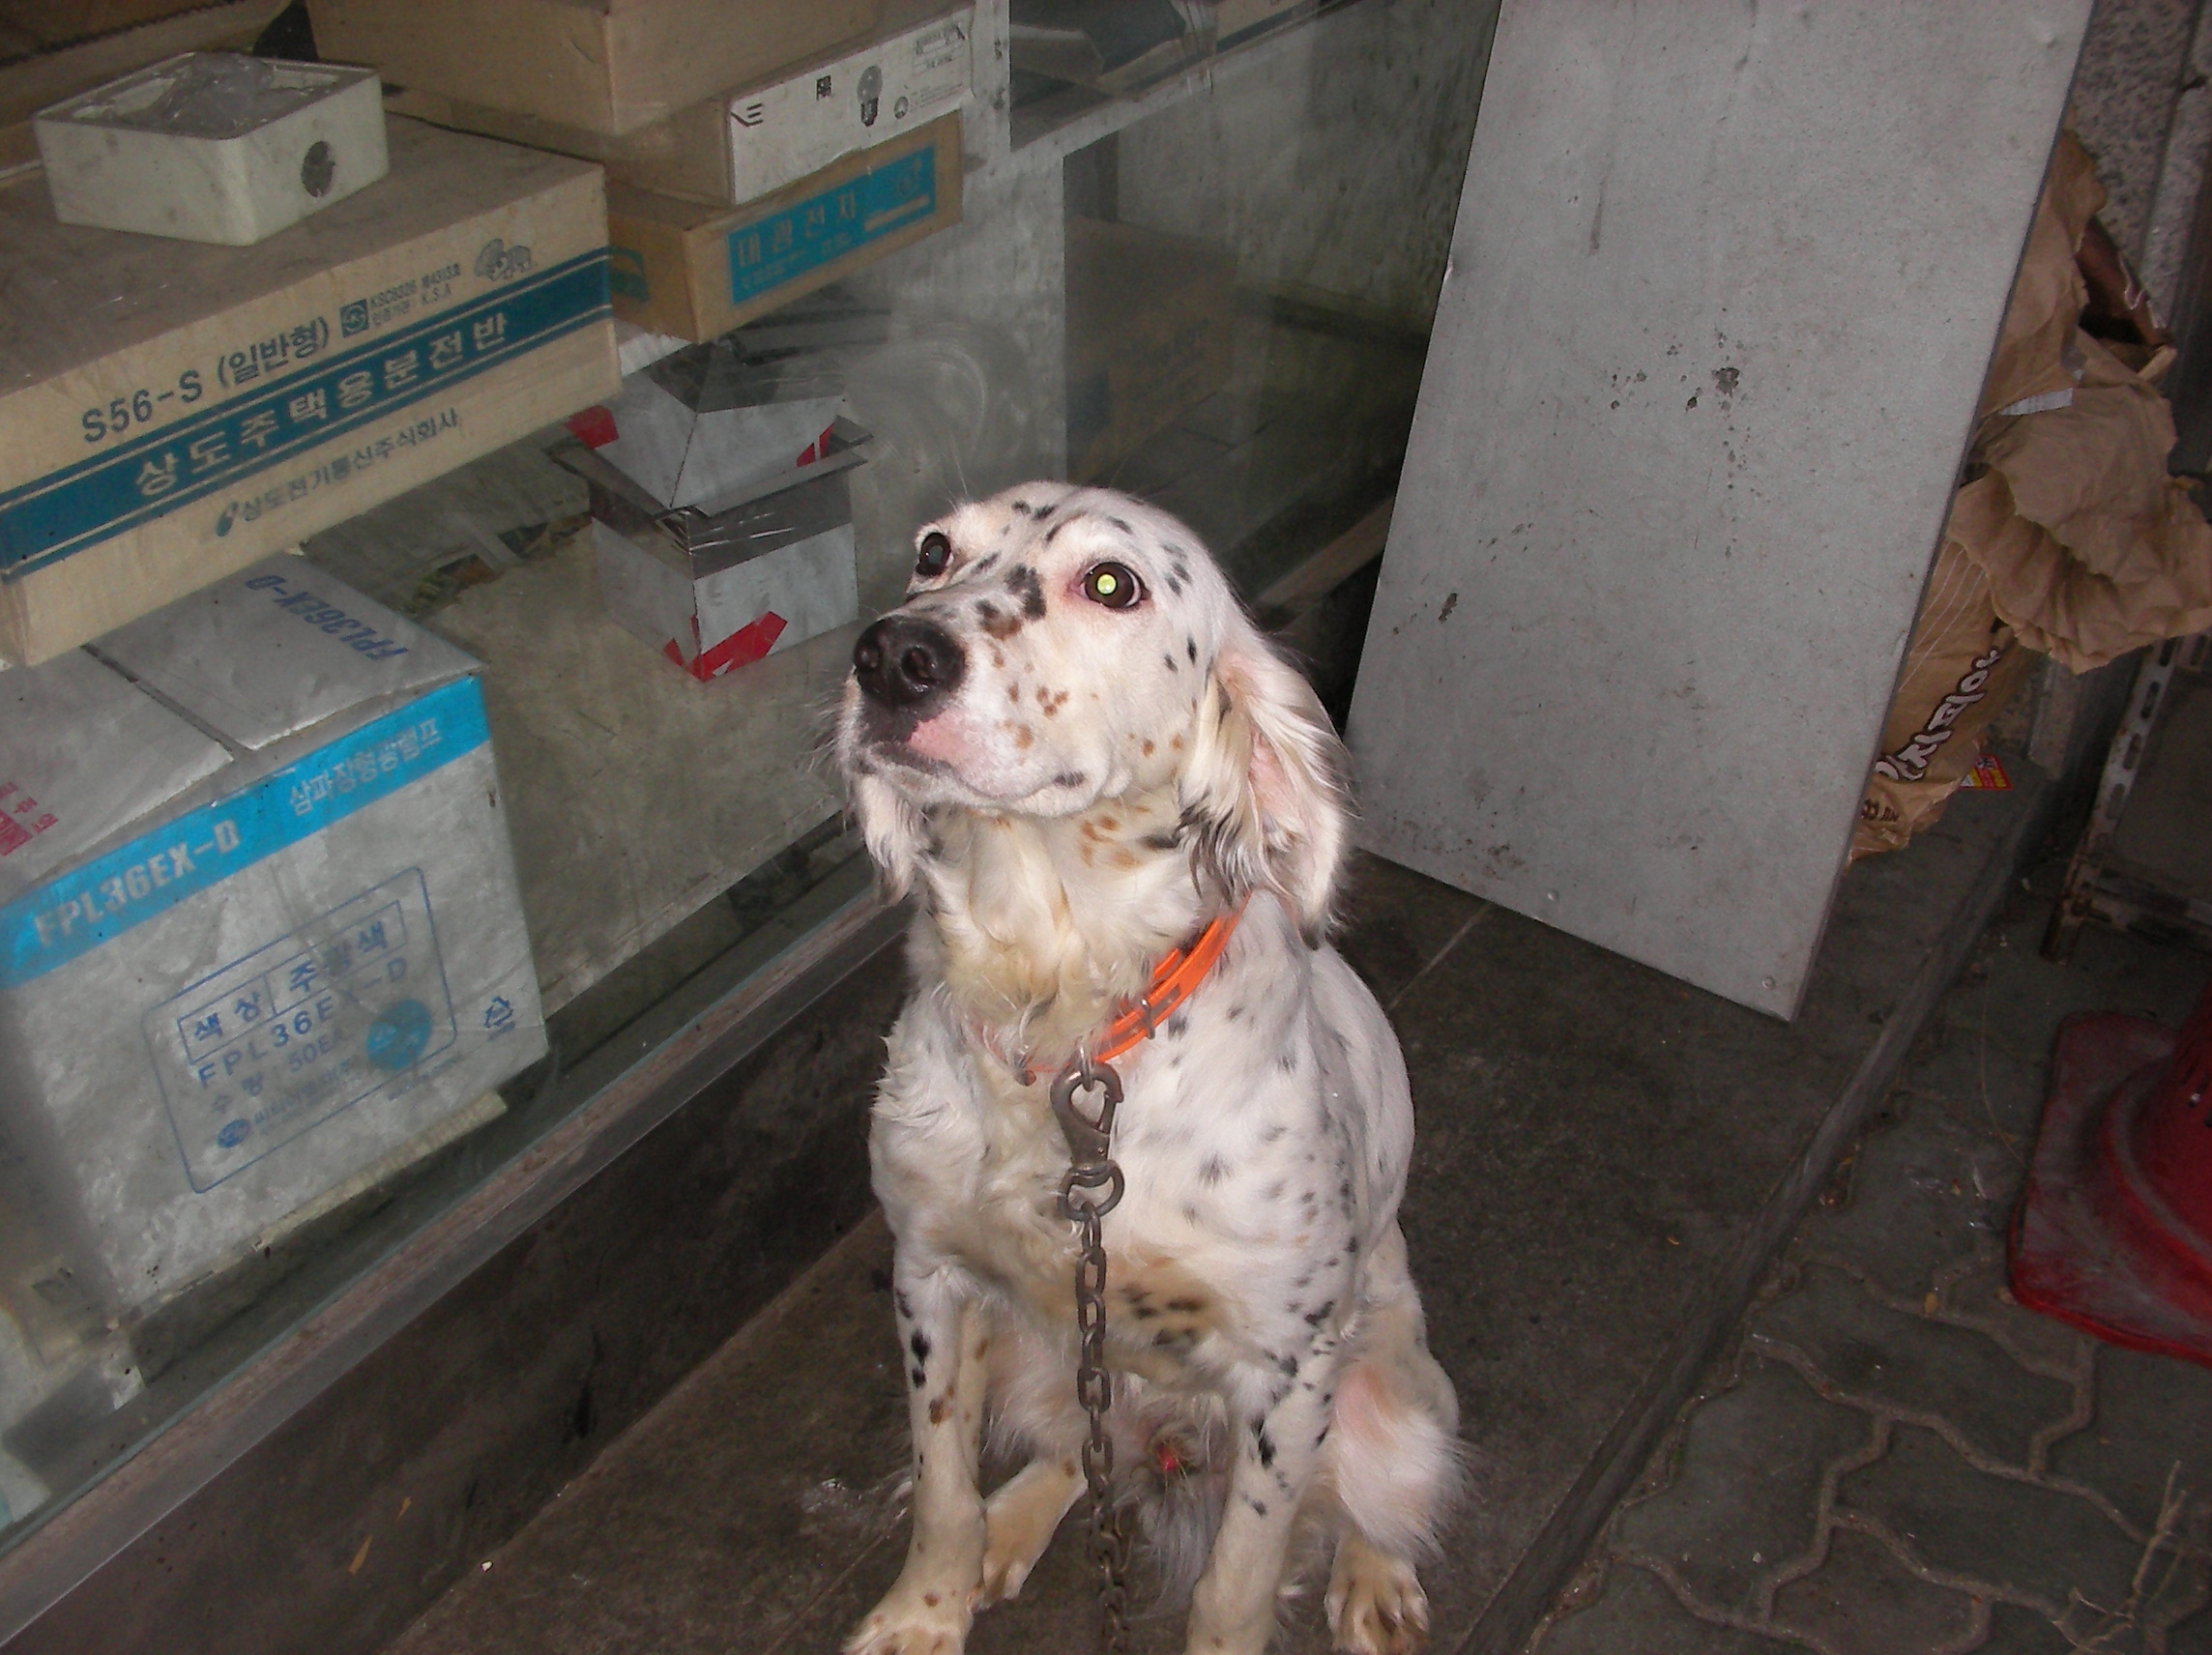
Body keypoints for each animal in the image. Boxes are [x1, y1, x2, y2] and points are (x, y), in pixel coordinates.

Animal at [835, 482, 1460, 1655]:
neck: (1062, 1017)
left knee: (1378, 1503)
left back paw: (1374, 1579)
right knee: (1076, 1458)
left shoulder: (1288, 1377)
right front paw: (923, 1613)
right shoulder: (929, 1276)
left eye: (1110, 582)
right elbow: (940, 1486)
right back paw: (1011, 1528)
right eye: (933, 552)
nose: (891, 656)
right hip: (1043, 1353)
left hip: (1397, 1397)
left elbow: (1235, 1584)